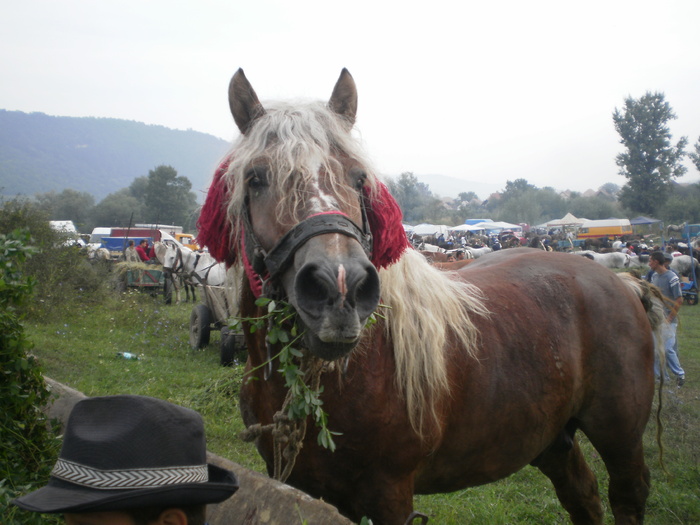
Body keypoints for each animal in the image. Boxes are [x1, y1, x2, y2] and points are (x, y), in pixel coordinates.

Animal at [196, 69, 660, 524]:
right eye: (255, 178)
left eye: (359, 178)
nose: (340, 288)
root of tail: (620, 281)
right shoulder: (300, 487)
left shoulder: (390, 495)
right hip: (550, 440)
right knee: (583, 497)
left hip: (619, 439)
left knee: (627, 495)